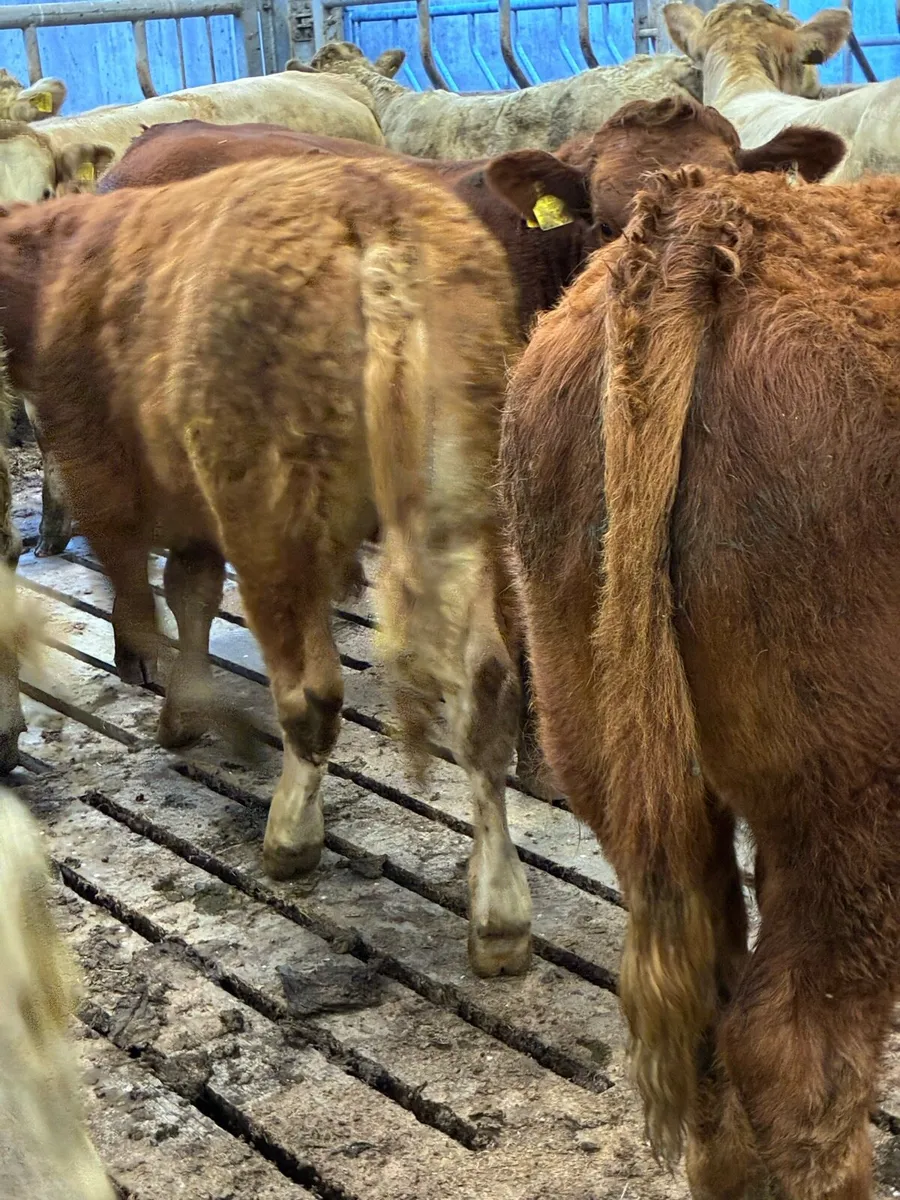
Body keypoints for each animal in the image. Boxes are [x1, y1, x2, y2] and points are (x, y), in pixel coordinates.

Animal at [0, 155, 539, 977]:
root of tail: (372, 206)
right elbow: (190, 591)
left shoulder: (105, 476)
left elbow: (144, 602)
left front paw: (187, 711)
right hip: (461, 497)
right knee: (486, 693)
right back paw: (501, 920)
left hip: (269, 512)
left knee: (311, 694)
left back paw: (289, 838)